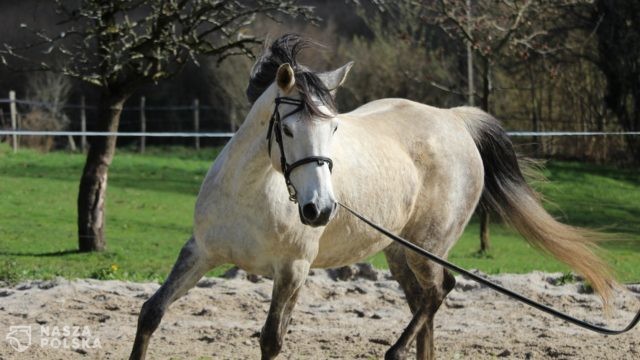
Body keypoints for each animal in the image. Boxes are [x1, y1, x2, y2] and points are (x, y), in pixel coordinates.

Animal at [130, 34, 616, 360]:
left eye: (334, 127)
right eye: (286, 128)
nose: (320, 210)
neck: (250, 194)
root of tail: (454, 120)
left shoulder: (292, 270)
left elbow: (271, 340)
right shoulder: (200, 252)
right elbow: (151, 313)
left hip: (425, 247)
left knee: (439, 292)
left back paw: (394, 352)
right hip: (399, 252)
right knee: (425, 301)